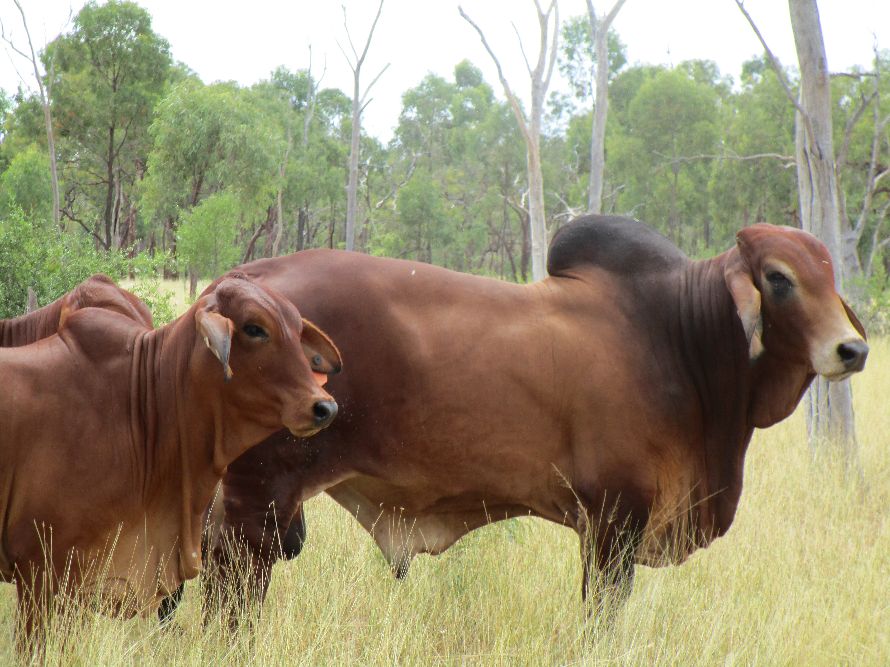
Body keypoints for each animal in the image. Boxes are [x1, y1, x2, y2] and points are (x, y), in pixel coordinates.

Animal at [175, 217, 868, 624]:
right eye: (778, 278)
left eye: (830, 273)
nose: (852, 349)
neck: (678, 336)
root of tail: (234, 285)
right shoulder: (615, 521)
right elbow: (601, 620)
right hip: (258, 501)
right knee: (232, 591)